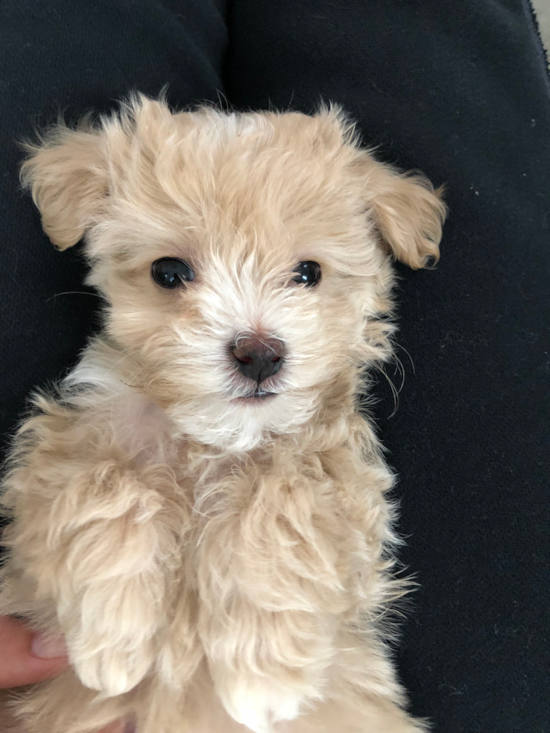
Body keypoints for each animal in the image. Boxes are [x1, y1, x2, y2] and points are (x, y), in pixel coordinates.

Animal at [0, 98, 446, 732]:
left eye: (308, 273)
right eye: (168, 272)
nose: (259, 353)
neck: (214, 441)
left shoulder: (344, 489)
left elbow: (283, 502)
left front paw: (266, 677)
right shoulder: (53, 457)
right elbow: (104, 482)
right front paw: (114, 640)